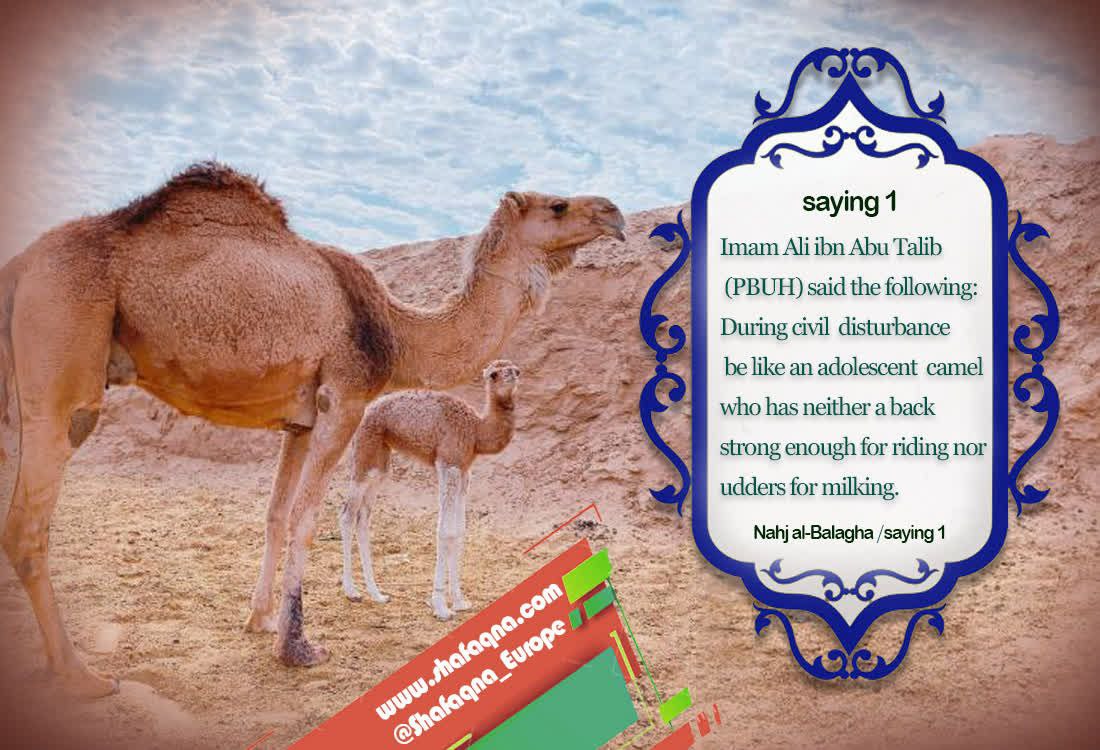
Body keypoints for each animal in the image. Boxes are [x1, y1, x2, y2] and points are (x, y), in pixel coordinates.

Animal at [340, 359, 520, 620]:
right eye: (494, 374)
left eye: (513, 369)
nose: (513, 376)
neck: (475, 430)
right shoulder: (448, 464)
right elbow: (445, 531)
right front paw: (441, 606)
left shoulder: (464, 471)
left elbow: (459, 531)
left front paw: (459, 601)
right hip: (365, 450)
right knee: (347, 515)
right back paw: (352, 592)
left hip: (380, 461)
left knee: (363, 517)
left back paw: (377, 594)